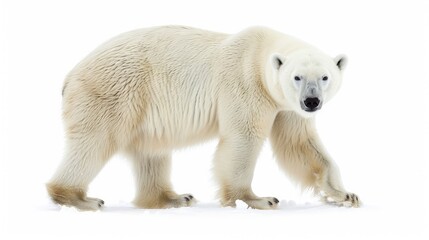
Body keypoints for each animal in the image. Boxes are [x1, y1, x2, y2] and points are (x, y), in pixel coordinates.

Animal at [46, 25, 360, 210]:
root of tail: (69, 75)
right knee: (95, 142)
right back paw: (80, 198)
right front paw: (258, 199)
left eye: (325, 77)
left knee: (151, 153)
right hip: (113, 92)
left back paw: (174, 197)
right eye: (297, 77)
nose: (311, 101)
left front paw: (345, 195)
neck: (260, 53)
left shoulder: (286, 107)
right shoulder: (246, 83)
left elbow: (299, 144)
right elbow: (243, 138)